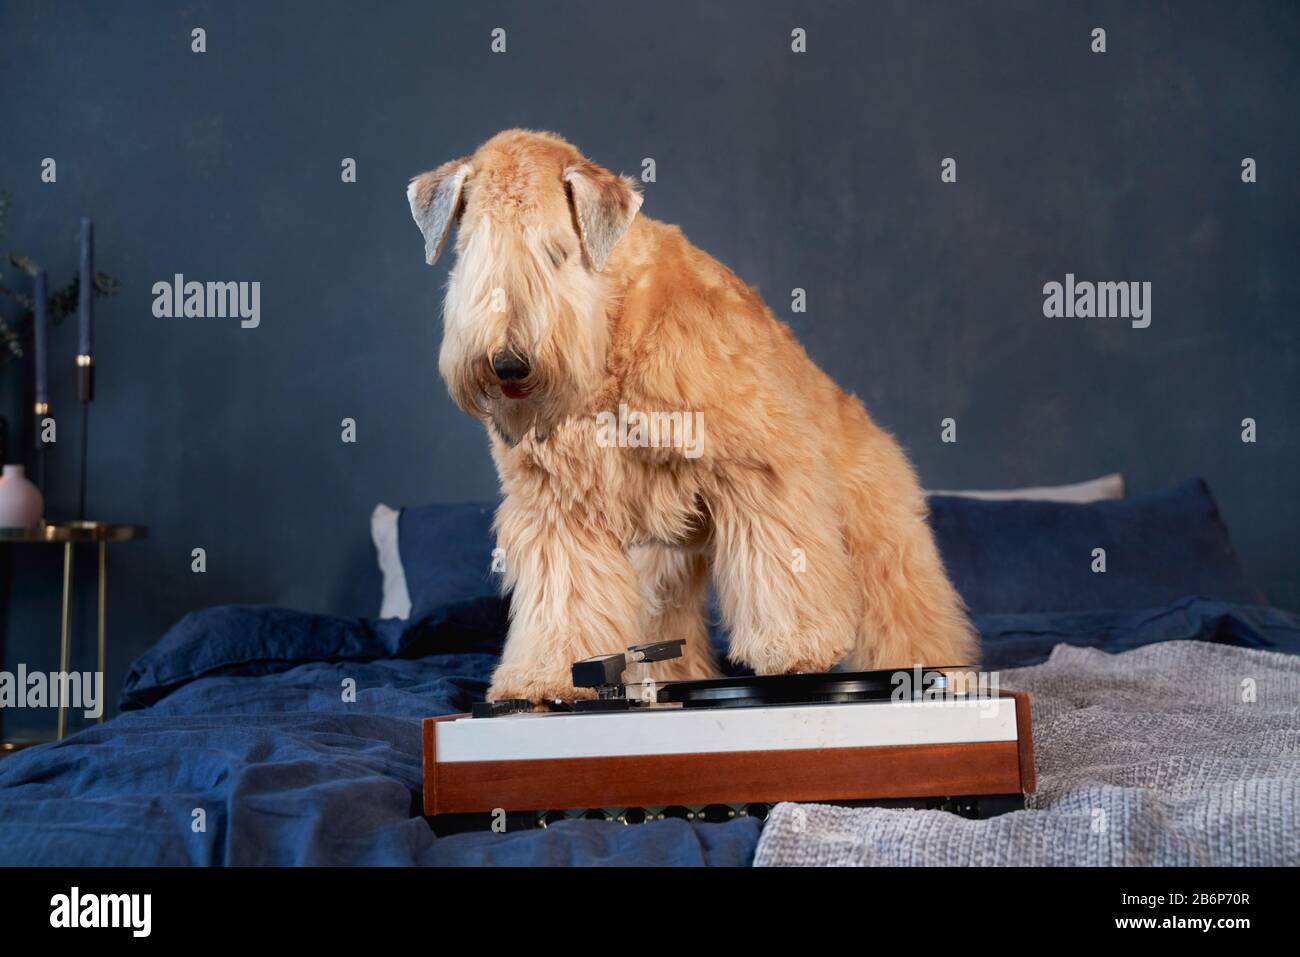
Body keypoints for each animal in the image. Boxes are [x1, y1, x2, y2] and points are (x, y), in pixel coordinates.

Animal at [405, 128, 977, 702]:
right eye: (471, 251)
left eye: (556, 252)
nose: (508, 363)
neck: (612, 331)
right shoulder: (558, 507)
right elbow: (564, 599)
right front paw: (545, 676)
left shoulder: (760, 470)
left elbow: (779, 569)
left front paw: (794, 648)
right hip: (665, 557)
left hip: (874, 527)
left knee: (905, 602)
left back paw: (933, 665)